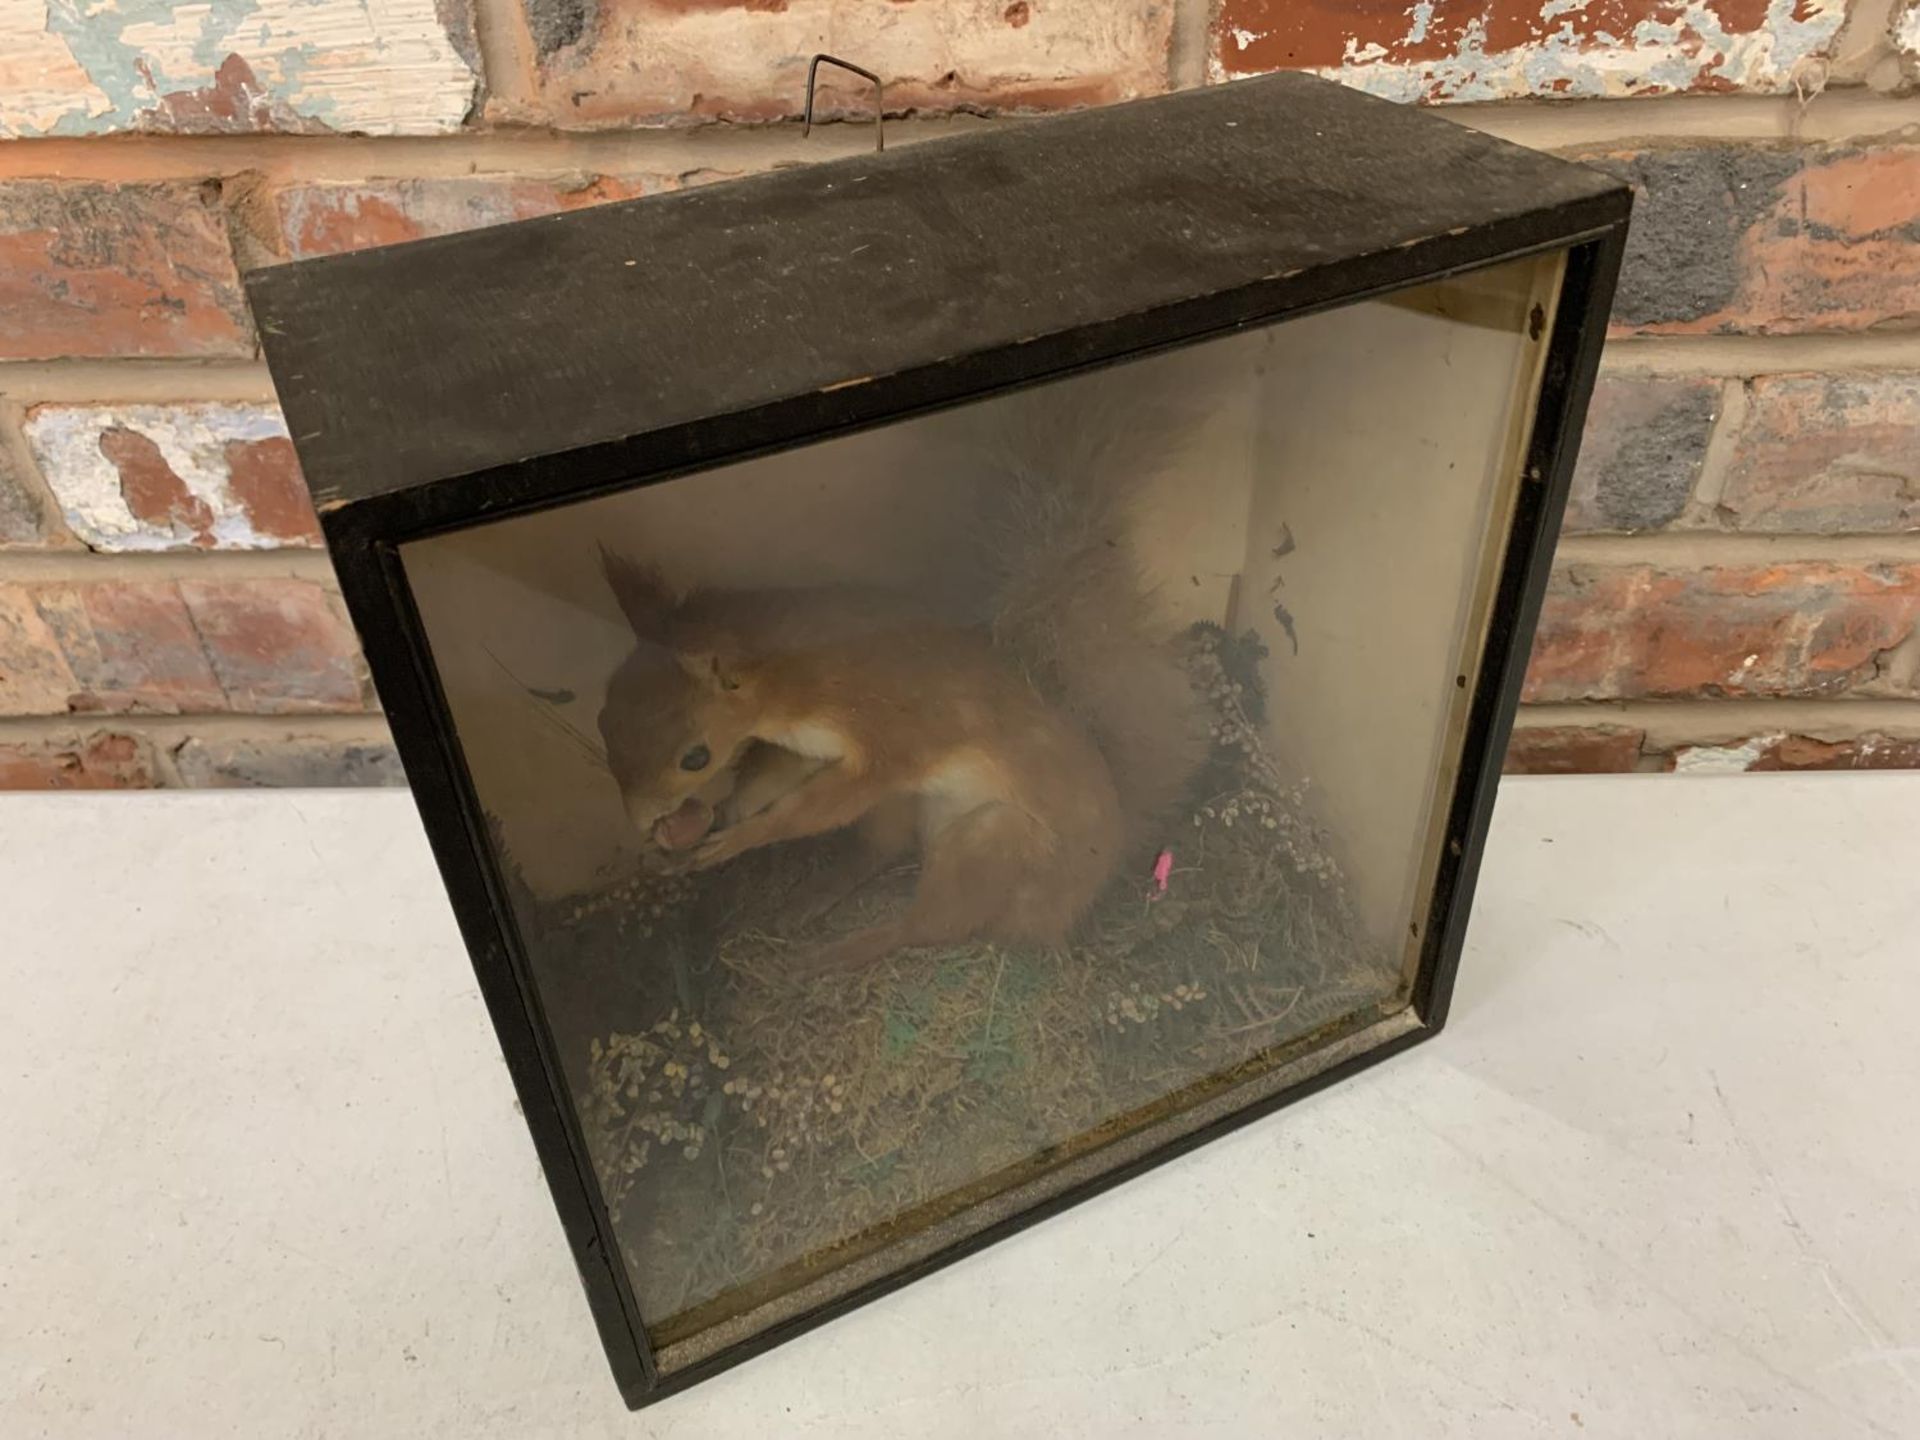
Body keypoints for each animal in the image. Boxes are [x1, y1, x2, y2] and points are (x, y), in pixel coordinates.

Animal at [591, 378, 1205, 975]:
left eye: (695, 757)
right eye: (602, 717)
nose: (642, 821)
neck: (796, 677)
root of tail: (1075, 903)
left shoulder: (885, 738)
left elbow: (808, 809)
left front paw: (738, 838)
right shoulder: (805, 746)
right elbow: (770, 781)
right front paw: (711, 821)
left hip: (989, 843)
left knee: (931, 926)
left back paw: (832, 955)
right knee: (882, 852)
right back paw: (816, 896)